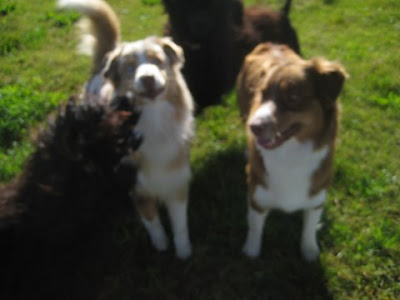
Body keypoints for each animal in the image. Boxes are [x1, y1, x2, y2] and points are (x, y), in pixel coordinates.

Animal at [59, 0, 195, 258]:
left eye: (157, 60)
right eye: (130, 68)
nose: (148, 78)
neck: (153, 119)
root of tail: (104, 61)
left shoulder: (176, 182)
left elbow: (181, 223)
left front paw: (183, 251)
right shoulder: (136, 187)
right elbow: (152, 220)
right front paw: (161, 244)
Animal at [238, 43, 346, 262]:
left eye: (293, 97)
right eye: (262, 94)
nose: (253, 127)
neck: (290, 155)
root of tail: (271, 44)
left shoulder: (316, 198)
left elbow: (309, 228)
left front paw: (309, 251)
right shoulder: (257, 194)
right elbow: (255, 226)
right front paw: (251, 251)